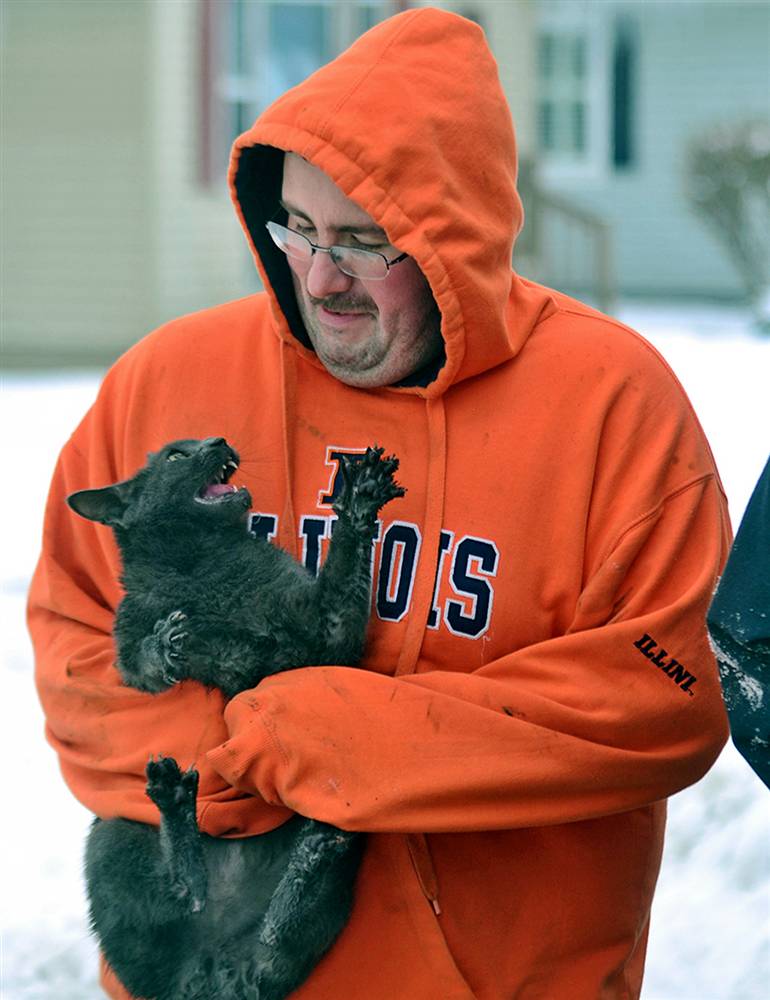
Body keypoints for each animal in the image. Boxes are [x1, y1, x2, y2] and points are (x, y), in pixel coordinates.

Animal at [67, 436, 404, 1000]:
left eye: (202, 441)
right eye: (176, 456)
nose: (218, 442)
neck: (209, 564)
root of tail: (212, 973)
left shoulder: (325, 633)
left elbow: (342, 576)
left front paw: (360, 499)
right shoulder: (128, 641)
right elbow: (144, 662)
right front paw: (170, 643)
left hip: (333, 863)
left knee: (273, 937)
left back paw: (312, 851)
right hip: (114, 827)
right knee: (186, 893)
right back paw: (175, 799)